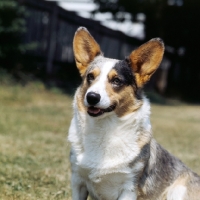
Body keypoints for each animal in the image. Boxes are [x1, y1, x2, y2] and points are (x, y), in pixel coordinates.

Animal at [68, 27, 200, 200]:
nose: (91, 97)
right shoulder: (78, 181)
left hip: (177, 191)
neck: (104, 128)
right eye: (90, 77)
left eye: (116, 80)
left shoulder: (129, 187)